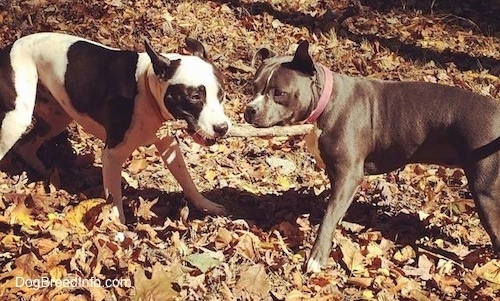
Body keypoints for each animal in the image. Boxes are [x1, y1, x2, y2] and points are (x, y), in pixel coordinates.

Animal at [0, 32, 230, 220]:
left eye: (221, 94)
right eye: (195, 97)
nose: (223, 128)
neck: (145, 86)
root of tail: (8, 48)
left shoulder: (168, 144)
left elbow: (186, 180)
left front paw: (206, 205)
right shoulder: (112, 156)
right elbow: (114, 200)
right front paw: (118, 230)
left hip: (57, 118)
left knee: (26, 146)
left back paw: (45, 171)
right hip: (16, 119)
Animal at [245, 39, 500, 272]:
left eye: (279, 93)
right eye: (253, 87)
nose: (250, 109)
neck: (325, 102)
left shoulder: (348, 175)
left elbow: (328, 216)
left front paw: (316, 257)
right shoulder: (337, 174)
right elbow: (335, 209)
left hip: (485, 193)